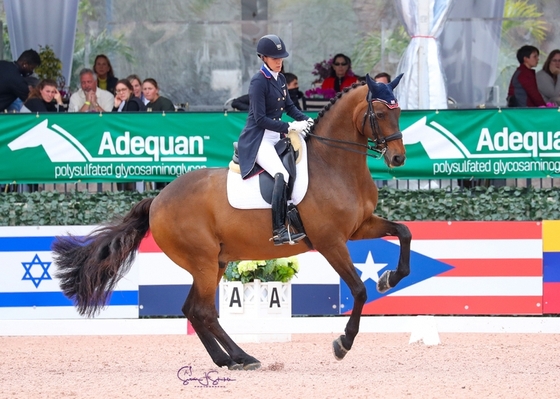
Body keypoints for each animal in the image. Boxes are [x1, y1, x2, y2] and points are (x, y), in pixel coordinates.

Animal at [52, 75, 412, 372]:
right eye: (381, 114)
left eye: (399, 113)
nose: (398, 158)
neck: (334, 163)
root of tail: (157, 200)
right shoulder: (330, 241)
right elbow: (359, 290)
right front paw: (343, 343)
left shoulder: (360, 227)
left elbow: (404, 232)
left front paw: (389, 278)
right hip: (202, 260)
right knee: (202, 311)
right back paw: (240, 357)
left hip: (216, 261)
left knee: (193, 310)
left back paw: (233, 358)